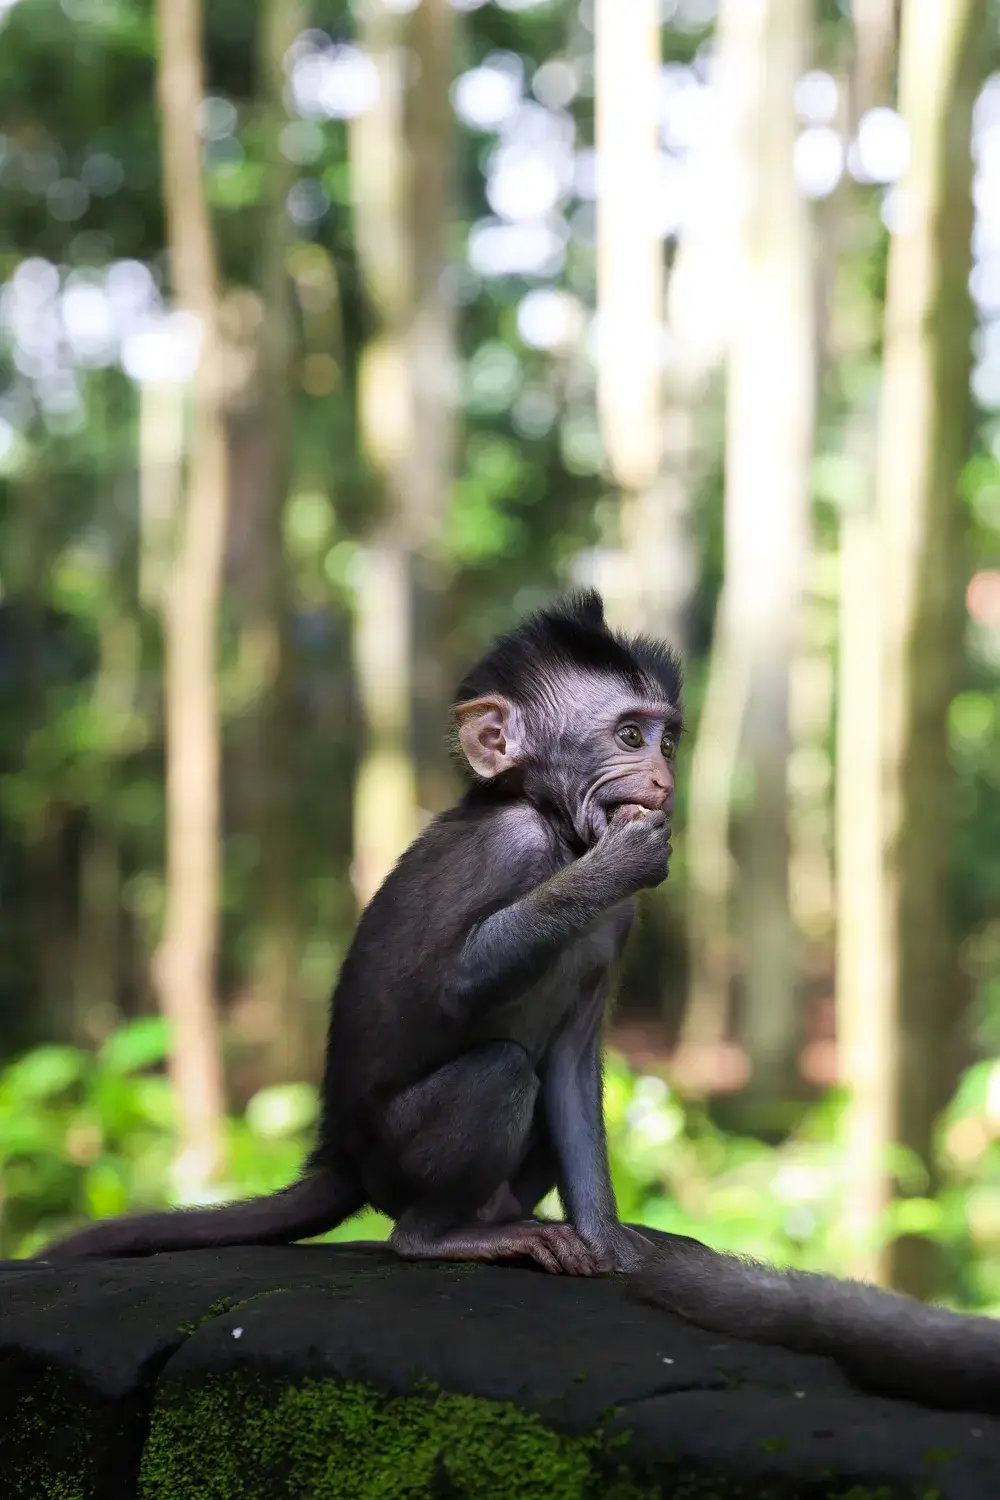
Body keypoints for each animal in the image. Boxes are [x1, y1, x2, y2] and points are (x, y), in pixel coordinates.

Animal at [38, 589, 681, 1276]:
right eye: (630, 736)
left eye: (668, 742)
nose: (665, 781)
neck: (560, 834)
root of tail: (342, 1154)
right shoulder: (512, 845)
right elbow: (453, 987)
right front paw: (617, 863)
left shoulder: (619, 923)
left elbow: (573, 1066)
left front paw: (609, 1242)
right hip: (394, 1159)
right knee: (499, 1070)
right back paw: (436, 1235)